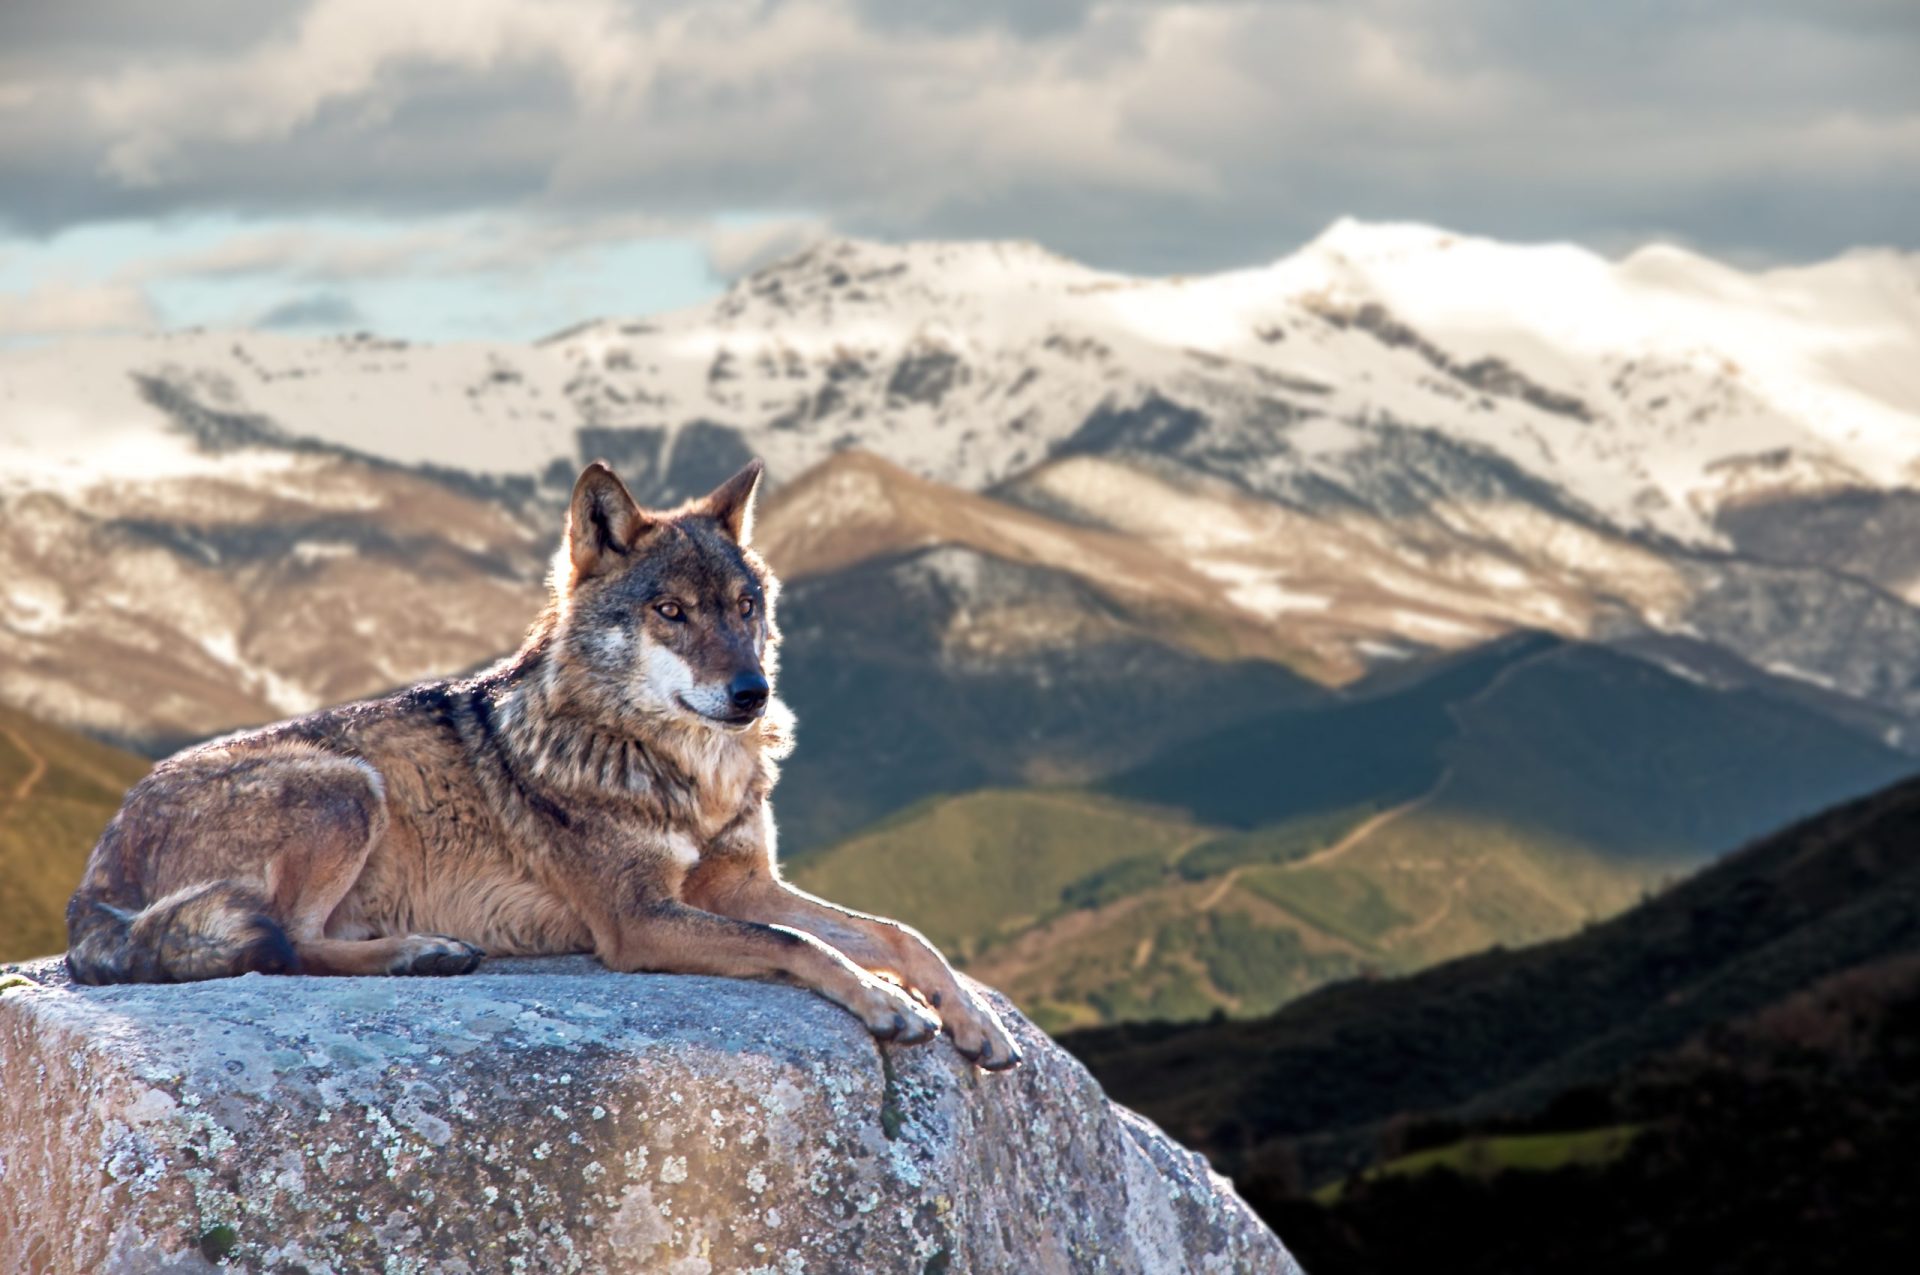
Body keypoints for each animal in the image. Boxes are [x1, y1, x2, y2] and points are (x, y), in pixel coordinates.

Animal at [63, 458, 1021, 1067]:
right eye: (671, 611)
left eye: (745, 606)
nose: (751, 693)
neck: (684, 772)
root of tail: (92, 875)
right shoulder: (640, 920)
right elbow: (799, 943)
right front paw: (888, 1003)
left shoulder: (740, 884)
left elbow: (897, 932)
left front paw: (974, 1022)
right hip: (347, 787)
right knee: (285, 943)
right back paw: (421, 953)